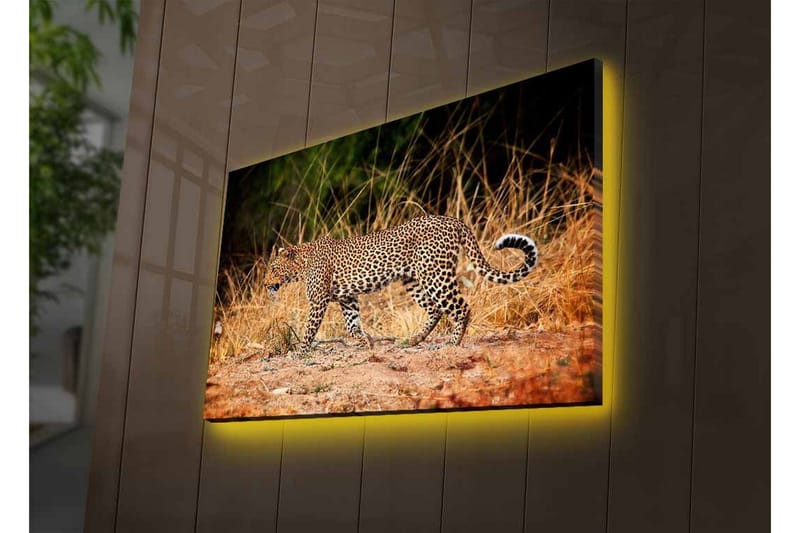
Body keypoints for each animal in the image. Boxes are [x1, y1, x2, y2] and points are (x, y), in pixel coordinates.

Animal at [264, 215, 538, 351]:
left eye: (273, 269)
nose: (266, 284)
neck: (302, 264)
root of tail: (453, 220)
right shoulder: (347, 298)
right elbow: (352, 326)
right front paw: (367, 343)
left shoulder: (319, 300)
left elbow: (309, 330)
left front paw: (300, 353)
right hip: (413, 280)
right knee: (435, 309)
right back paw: (413, 340)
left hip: (435, 275)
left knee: (461, 308)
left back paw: (452, 344)